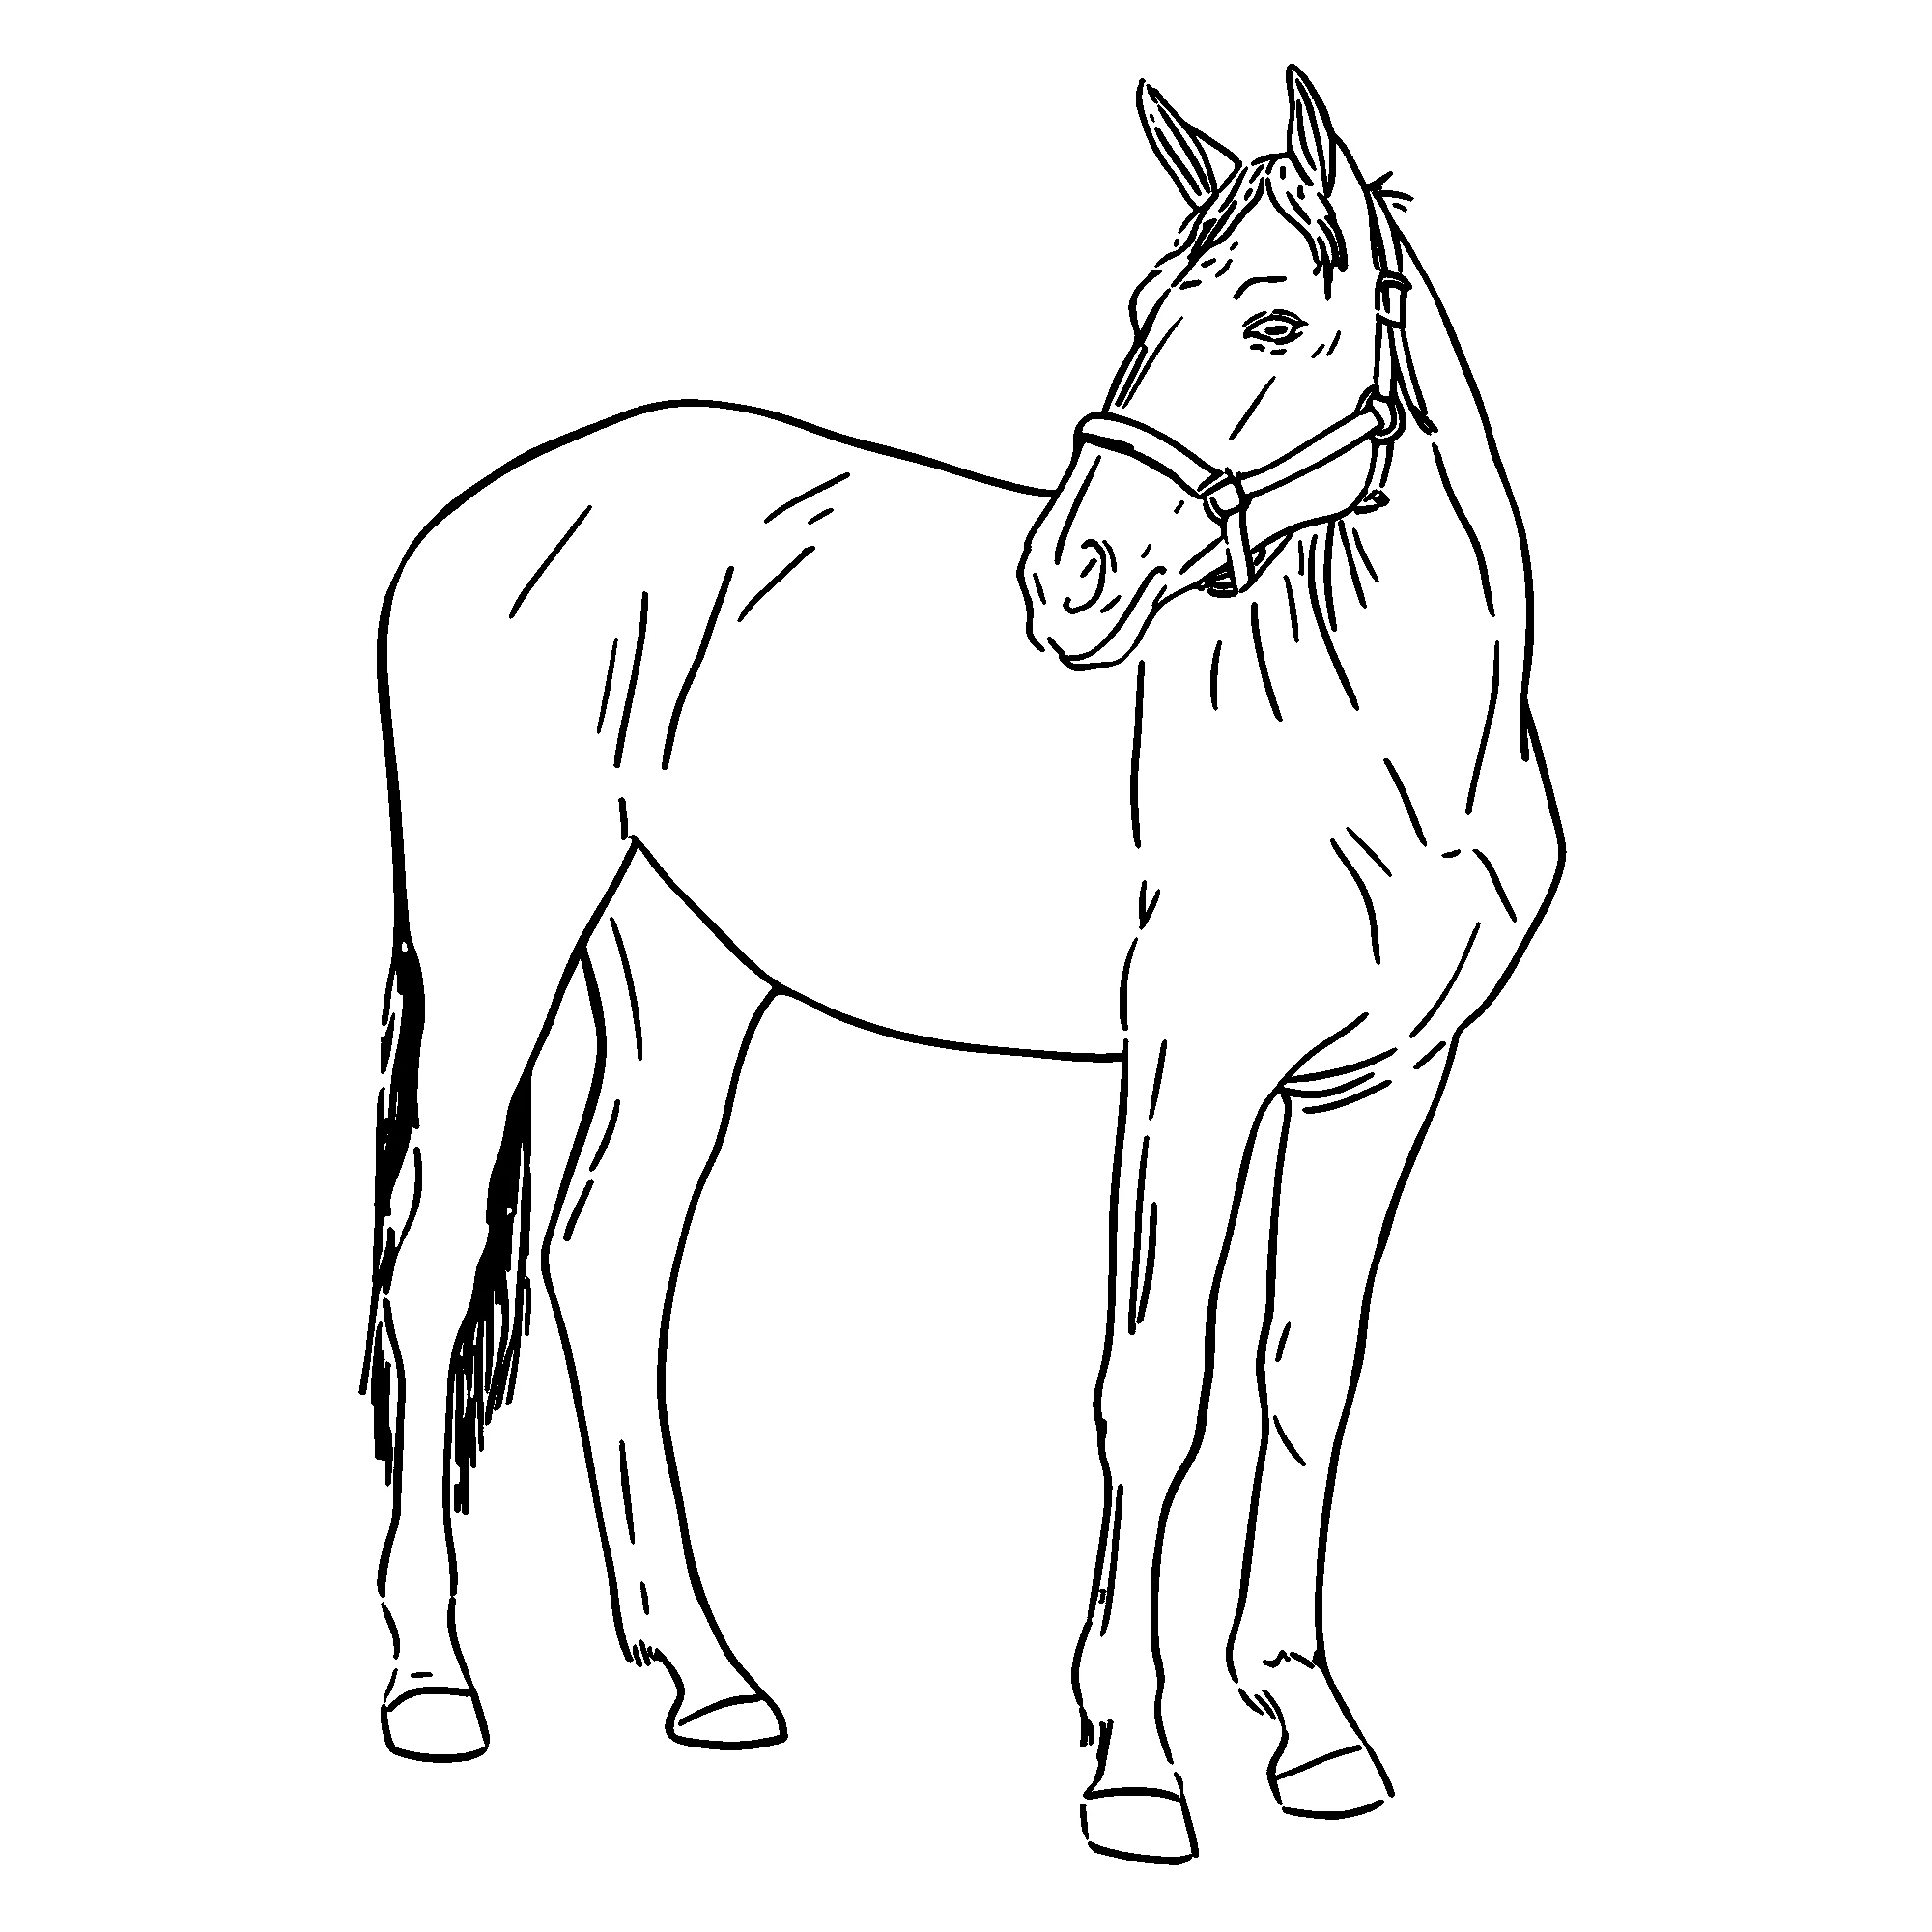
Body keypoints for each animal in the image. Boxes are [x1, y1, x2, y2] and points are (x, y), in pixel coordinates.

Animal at [363, 63, 1563, 1865]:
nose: (1069, 581)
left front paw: (1311, 1725)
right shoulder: (1192, 1072)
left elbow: (1303, 1382)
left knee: (604, 1259)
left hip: (689, 976)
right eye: (1141, 310)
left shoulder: (1385, 1083)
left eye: (1276, 319)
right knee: (436, 1266)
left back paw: (706, 1676)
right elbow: (1155, 1386)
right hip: (503, 935)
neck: (1379, 738)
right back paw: (434, 1683)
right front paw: (1133, 1763)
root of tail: (491, 512)